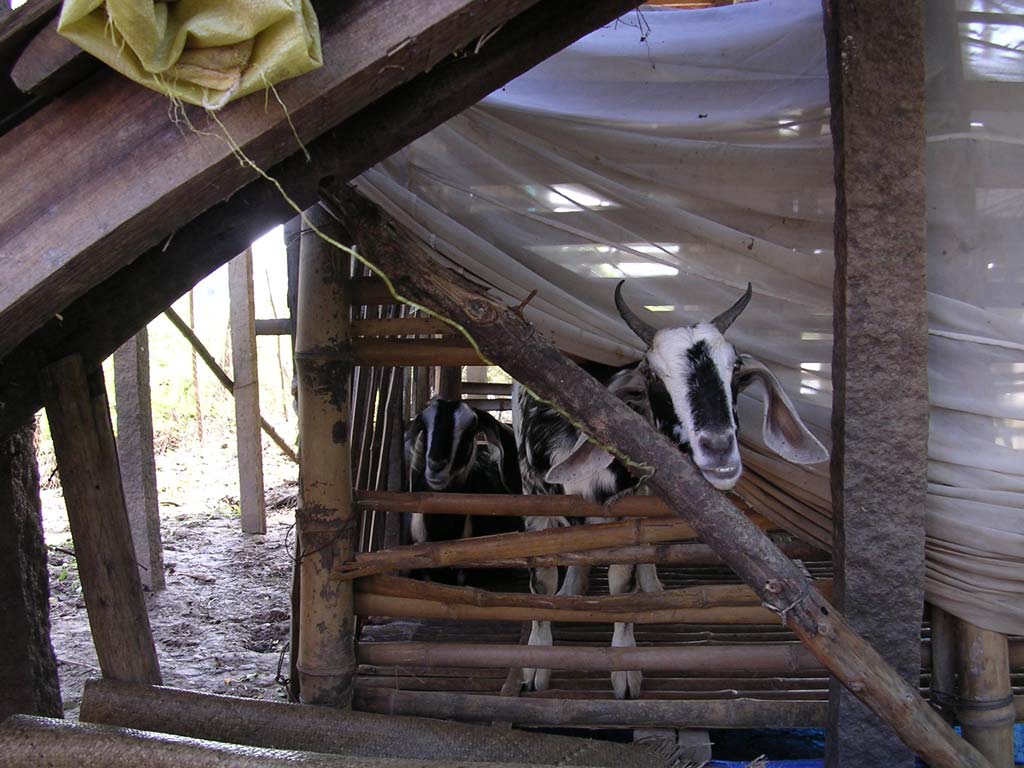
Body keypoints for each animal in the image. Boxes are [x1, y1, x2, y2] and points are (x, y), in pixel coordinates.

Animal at [512, 284, 831, 704]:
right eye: (652, 374)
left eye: (735, 367)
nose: (718, 448)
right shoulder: (533, 498)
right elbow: (541, 581)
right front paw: (536, 661)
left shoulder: (629, 511)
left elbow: (624, 583)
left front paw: (624, 667)